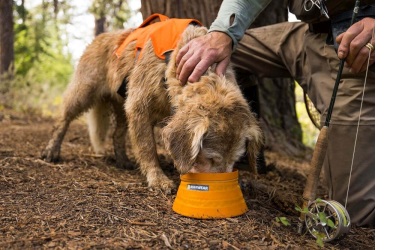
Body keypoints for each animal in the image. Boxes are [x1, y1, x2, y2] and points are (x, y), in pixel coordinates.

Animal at [42, 15, 264, 192]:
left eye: (234, 160)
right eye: (210, 158)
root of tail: (100, 37)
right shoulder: (139, 108)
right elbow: (148, 148)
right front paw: (158, 179)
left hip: (122, 106)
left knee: (117, 134)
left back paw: (122, 160)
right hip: (84, 91)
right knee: (63, 120)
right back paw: (51, 150)